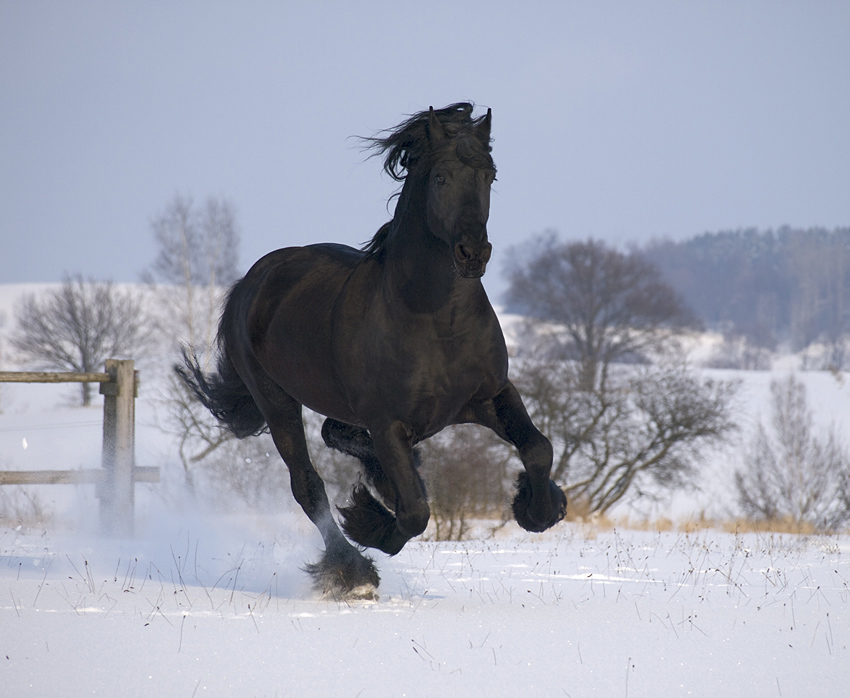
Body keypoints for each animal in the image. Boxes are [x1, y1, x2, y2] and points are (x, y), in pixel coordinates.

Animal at [178, 103, 564, 600]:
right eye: (440, 177)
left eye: (490, 176)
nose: (472, 253)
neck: (438, 323)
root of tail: (253, 280)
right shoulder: (387, 424)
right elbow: (415, 512)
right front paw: (369, 523)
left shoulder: (489, 397)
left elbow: (537, 447)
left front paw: (540, 509)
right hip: (276, 400)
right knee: (307, 484)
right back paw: (352, 571)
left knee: (333, 436)